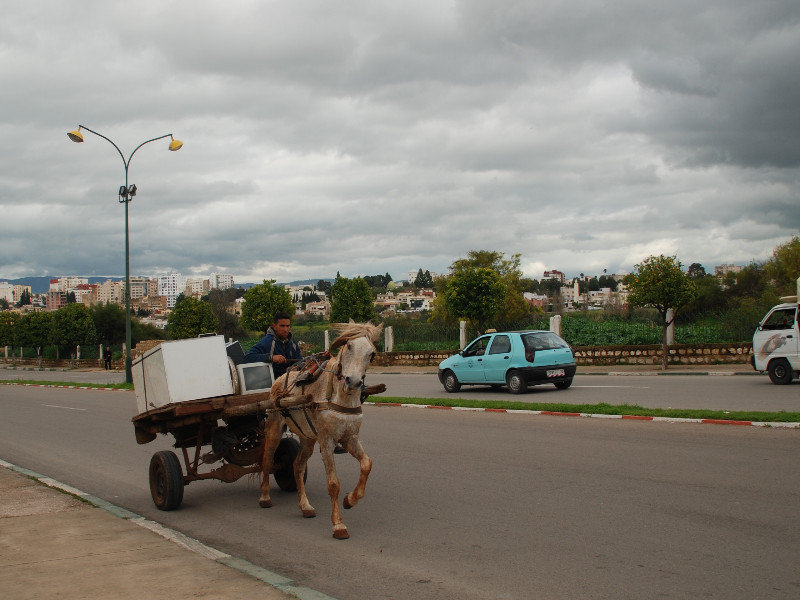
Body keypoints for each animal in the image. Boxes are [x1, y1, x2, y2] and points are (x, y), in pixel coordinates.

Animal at [256, 322, 382, 540]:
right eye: (349, 346)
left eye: (371, 353)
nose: (352, 381)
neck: (340, 396)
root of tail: (279, 379)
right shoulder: (327, 442)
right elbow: (333, 484)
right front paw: (338, 525)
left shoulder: (350, 438)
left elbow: (367, 464)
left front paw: (350, 500)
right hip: (274, 428)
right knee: (267, 459)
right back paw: (264, 497)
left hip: (307, 439)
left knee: (297, 465)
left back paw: (305, 506)